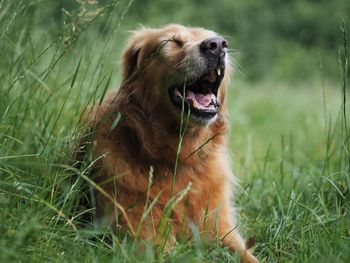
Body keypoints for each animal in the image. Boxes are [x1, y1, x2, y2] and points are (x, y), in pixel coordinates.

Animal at [82, 23, 258, 262]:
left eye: (217, 39)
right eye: (174, 42)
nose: (217, 45)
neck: (179, 156)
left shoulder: (220, 229)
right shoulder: (142, 235)